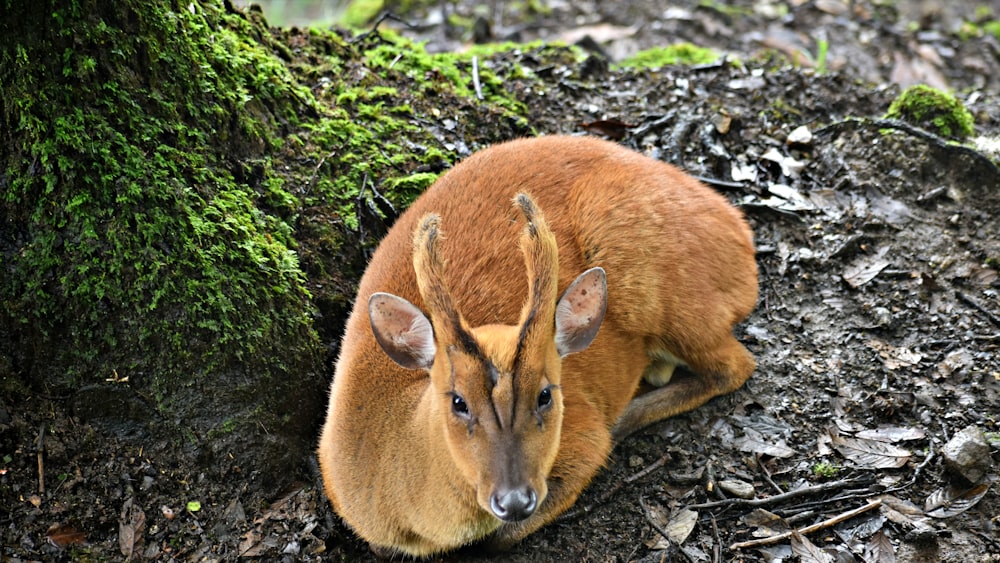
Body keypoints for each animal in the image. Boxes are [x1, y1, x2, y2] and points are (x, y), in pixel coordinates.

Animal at [320, 134, 756, 556]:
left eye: (546, 394)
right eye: (458, 401)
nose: (514, 499)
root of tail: (742, 233)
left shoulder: (583, 439)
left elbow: (499, 539)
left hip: (669, 294)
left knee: (736, 364)